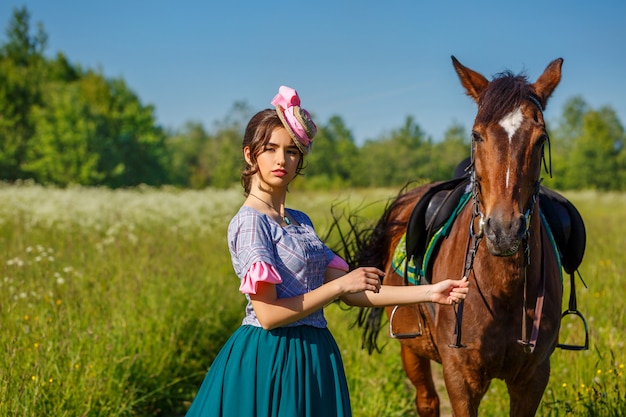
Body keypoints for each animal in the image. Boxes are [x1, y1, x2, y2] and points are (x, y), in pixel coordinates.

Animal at [354, 56, 564, 416]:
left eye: (540, 139)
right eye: (477, 135)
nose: (503, 231)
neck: (502, 291)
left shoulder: (533, 378)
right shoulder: (460, 378)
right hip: (412, 350)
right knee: (427, 400)